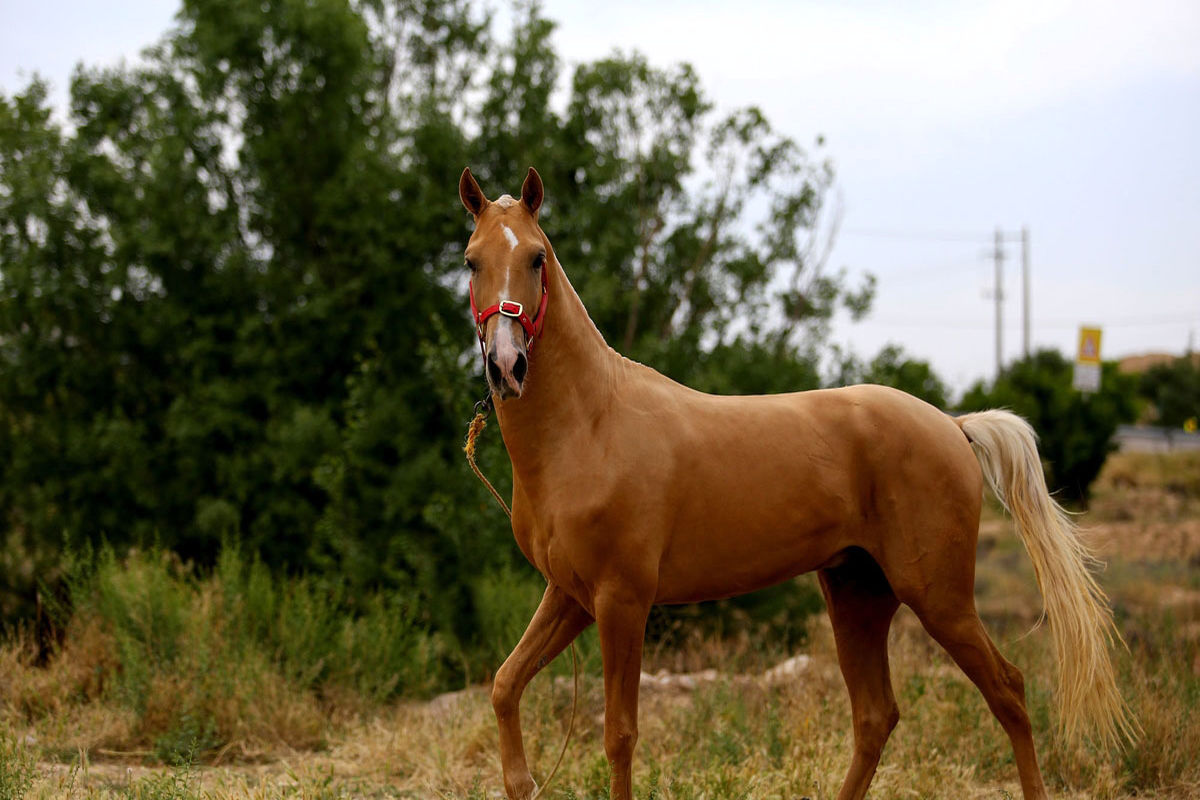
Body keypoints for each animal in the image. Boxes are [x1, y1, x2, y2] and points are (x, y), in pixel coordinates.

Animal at [458, 167, 1132, 800]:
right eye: (471, 260)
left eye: (537, 258)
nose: (507, 364)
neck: (591, 424)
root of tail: (953, 424)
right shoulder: (570, 596)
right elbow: (504, 686)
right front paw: (520, 782)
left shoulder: (621, 601)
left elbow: (618, 735)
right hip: (858, 595)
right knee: (876, 718)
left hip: (939, 598)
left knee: (1009, 692)